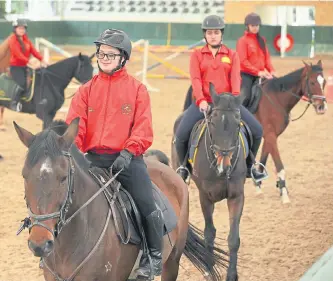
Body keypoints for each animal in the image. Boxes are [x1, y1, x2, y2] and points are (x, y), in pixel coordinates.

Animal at [171, 83, 246, 280]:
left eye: (237, 123)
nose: (223, 163)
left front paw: (231, 274)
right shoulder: (205, 197)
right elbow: (209, 234)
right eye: (212, 122)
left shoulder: (236, 197)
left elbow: (233, 239)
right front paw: (209, 268)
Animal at [183, 60, 326, 203]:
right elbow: (279, 166)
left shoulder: (270, 136)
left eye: (324, 82)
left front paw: (259, 185)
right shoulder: (270, 135)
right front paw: (284, 194)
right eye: (312, 82)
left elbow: (262, 160)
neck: (277, 98)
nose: (322, 107)